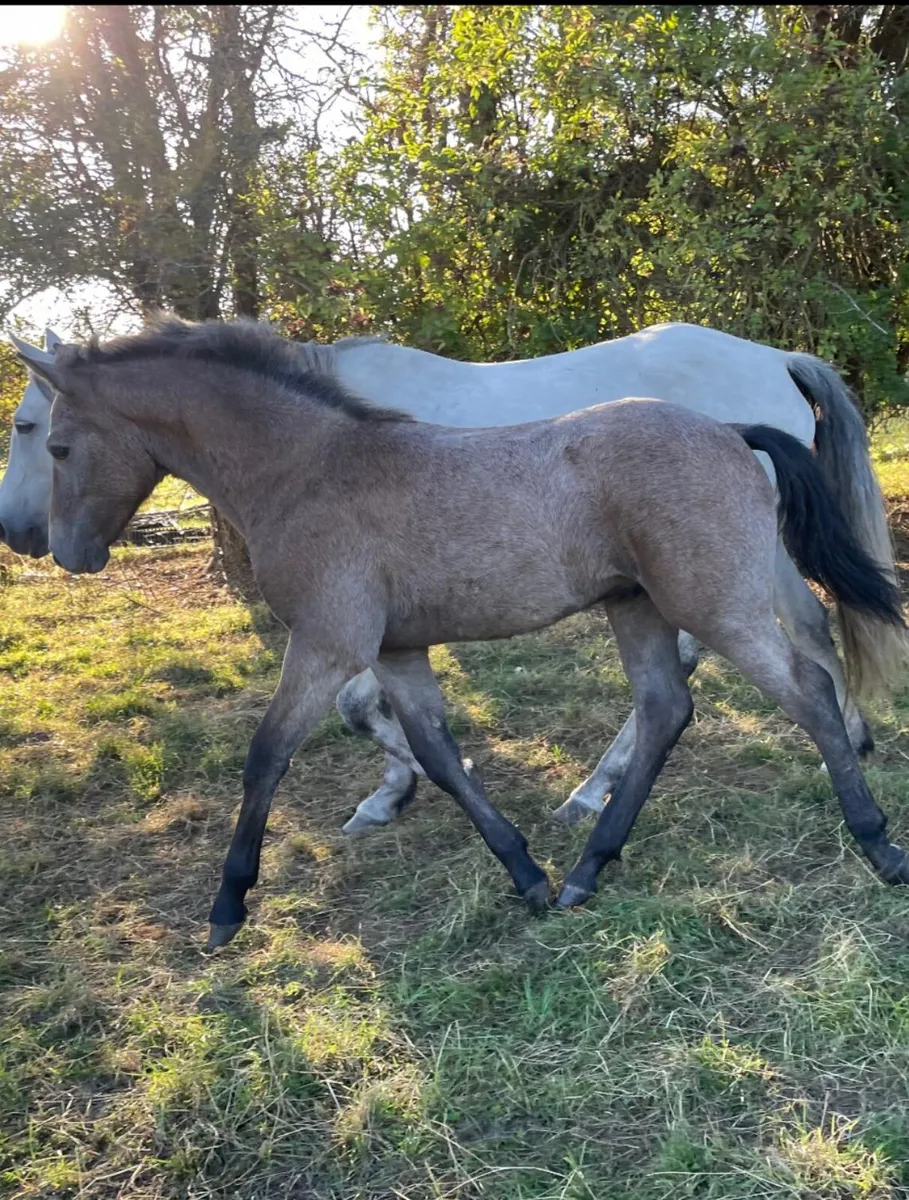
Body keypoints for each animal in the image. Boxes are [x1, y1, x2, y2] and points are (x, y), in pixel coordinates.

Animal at [14, 317, 909, 950]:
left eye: (49, 439)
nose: (55, 547)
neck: (312, 466)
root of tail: (727, 427)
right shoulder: (396, 649)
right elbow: (437, 753)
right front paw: (521, 871)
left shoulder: (329, 641)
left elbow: (267, 754)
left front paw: (229, 904)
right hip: (639, 606)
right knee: (666, 707)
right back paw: (586, 865)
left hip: (715, 601)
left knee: (806, 685)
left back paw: (875, 842)